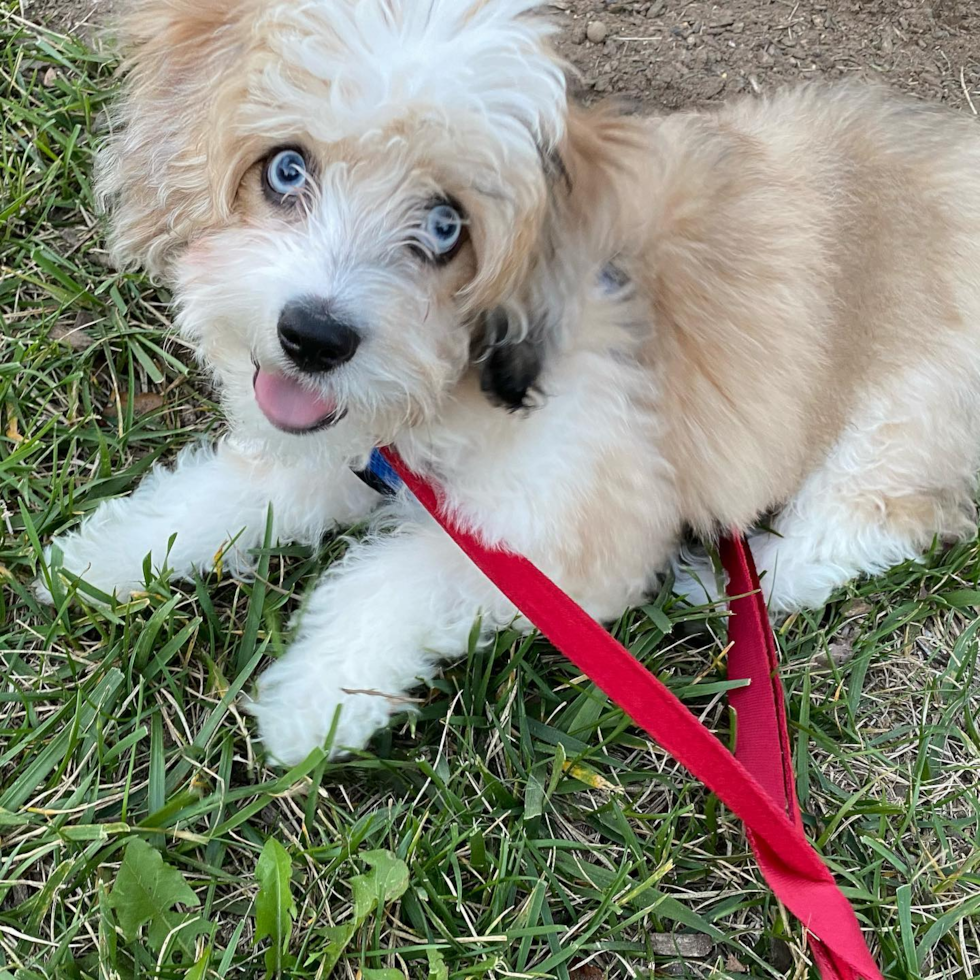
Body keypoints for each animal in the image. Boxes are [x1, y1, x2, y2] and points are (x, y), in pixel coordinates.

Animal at [42, 0, 980, 764]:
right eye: (285, 170)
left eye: (445, 226)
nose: (313, 336)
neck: (458, 384)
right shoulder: (348, 444)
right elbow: (232, 490)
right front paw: (110, 554)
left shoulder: (570, 530)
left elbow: (402, 578)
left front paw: (313, 701)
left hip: (907, 411)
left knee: (875, 518)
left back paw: (733, 582)